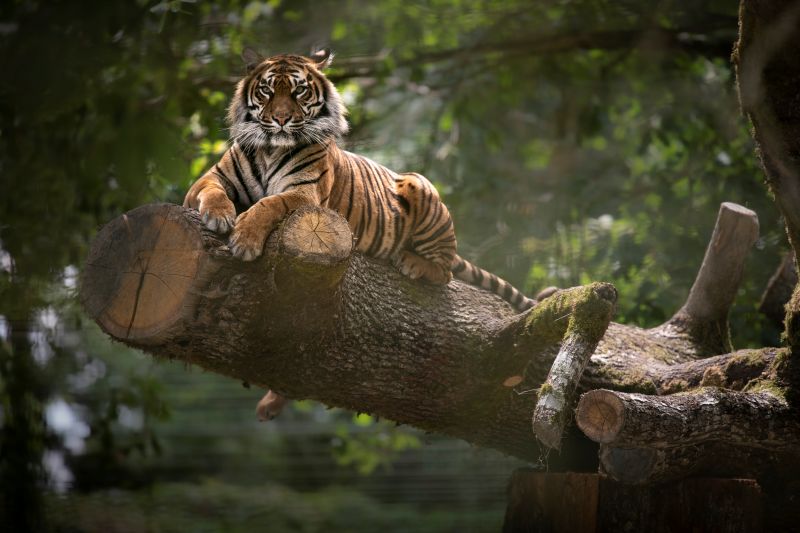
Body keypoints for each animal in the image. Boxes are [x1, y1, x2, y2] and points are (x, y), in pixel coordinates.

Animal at [183, 48, 555, 421]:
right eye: (266, 90)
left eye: (300, 91)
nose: (281, 120)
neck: (270, 149)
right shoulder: (209, 179)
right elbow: (213, 192)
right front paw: (219, 216)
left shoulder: (305, 195)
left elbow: (269, 203)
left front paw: (245, 239)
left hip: (418, 185)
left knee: (445, 270)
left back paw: (412, 262)